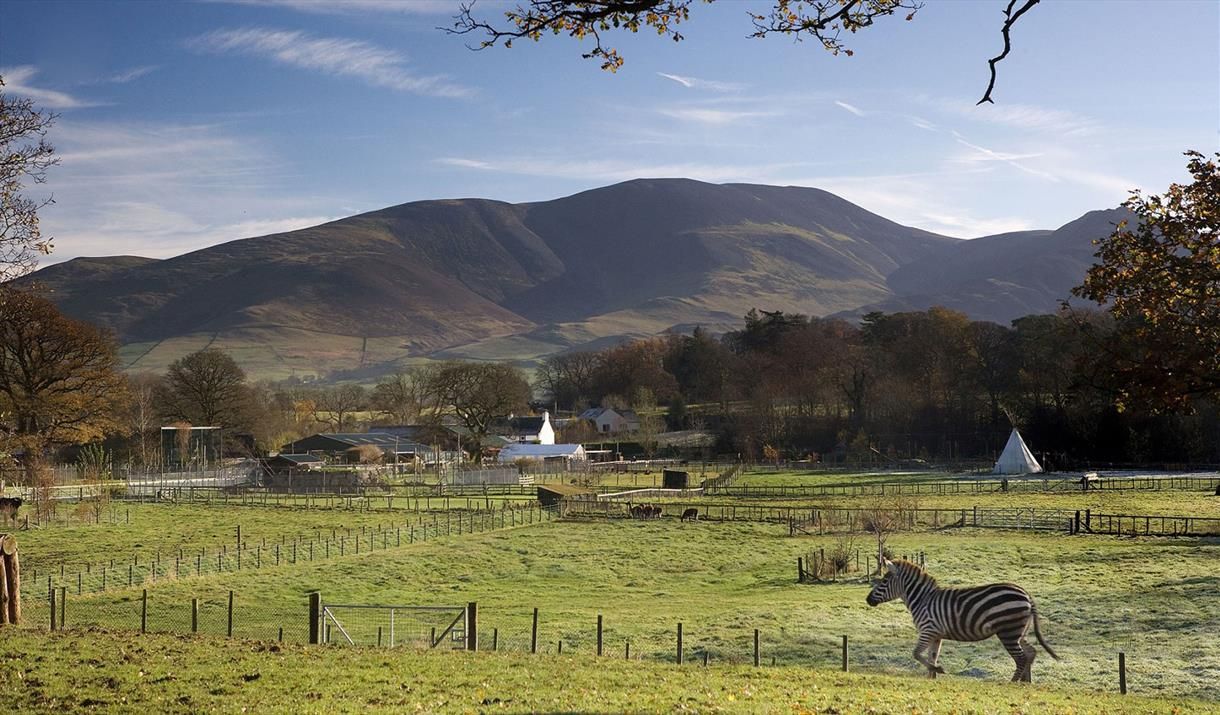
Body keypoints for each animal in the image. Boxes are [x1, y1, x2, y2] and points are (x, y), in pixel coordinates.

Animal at [865, 558, 1058, 682]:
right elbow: (932, 656)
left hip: (1008, 633)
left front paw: (938, 670)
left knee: (1021, 658)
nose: (867, 600)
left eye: (884, 581)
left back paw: (1012, 683)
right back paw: (1026, 682)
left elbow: (916, 654)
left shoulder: (928, 630)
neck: (922, 599)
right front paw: (931, 677)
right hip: (1019, 631)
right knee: (1031, 652)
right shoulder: (936, 634)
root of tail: (1026, 594)